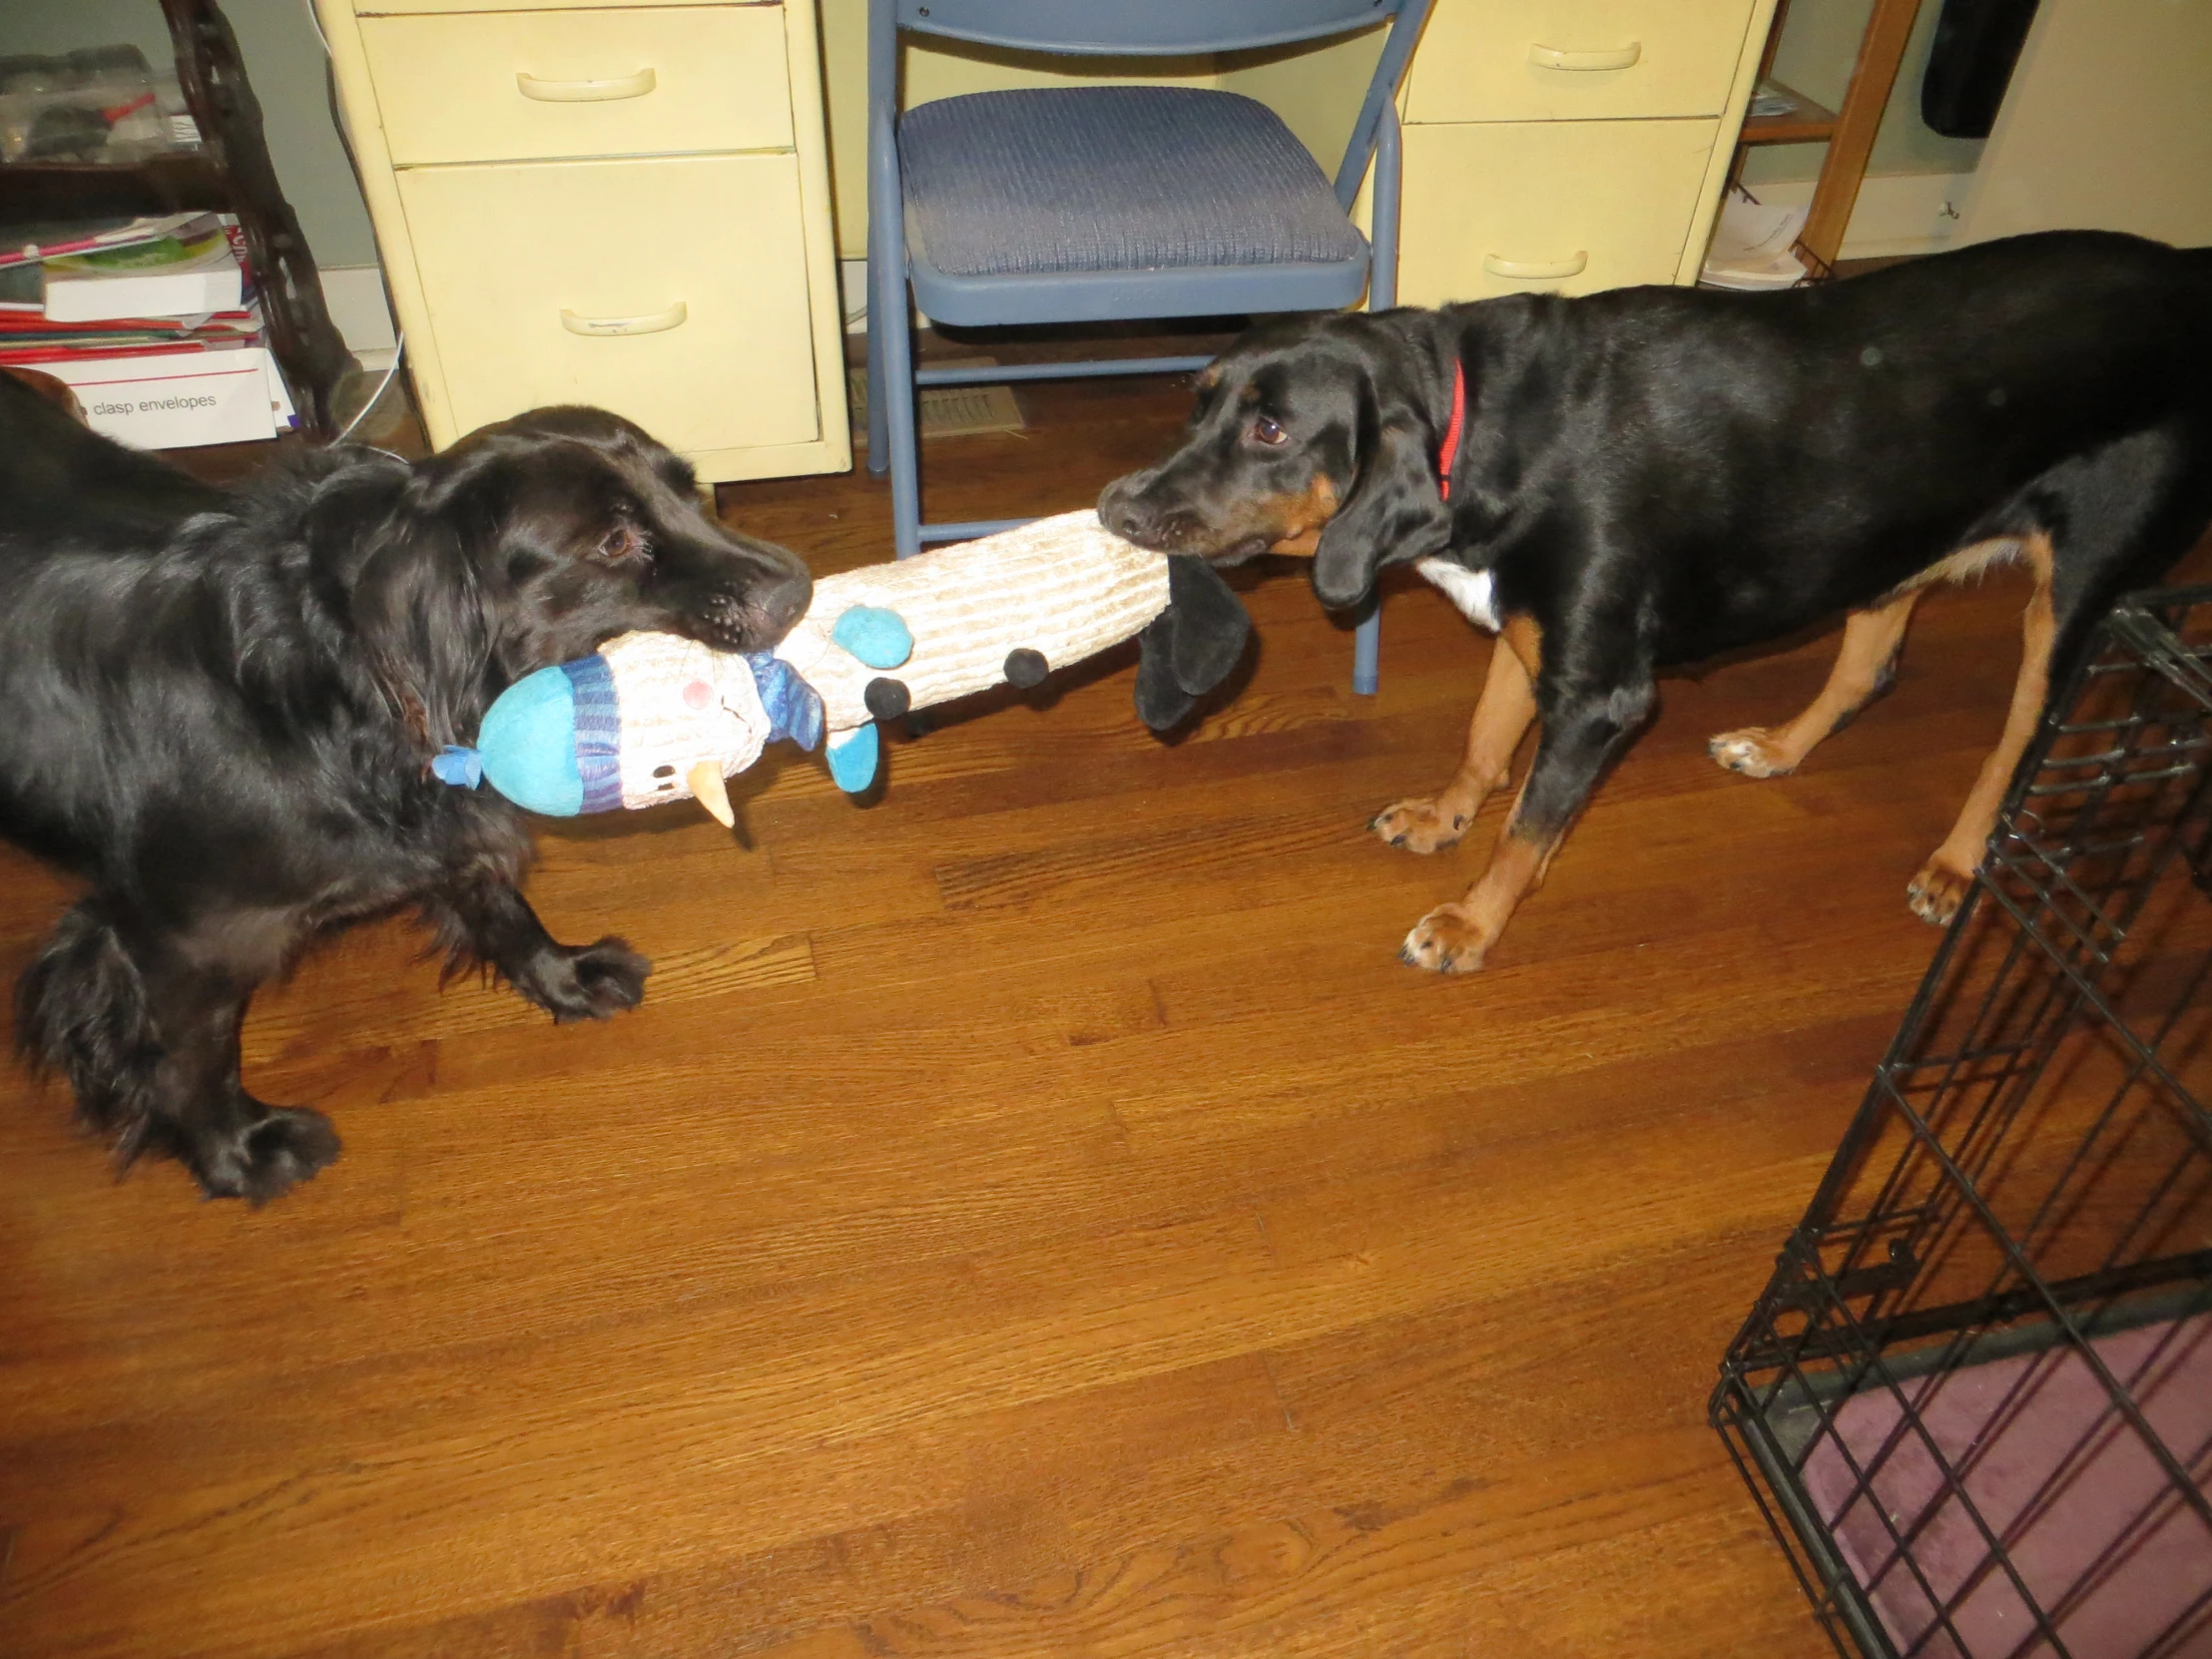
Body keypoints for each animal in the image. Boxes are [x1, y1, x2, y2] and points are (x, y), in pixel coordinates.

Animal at [0, 382, 814, 1203]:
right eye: (614, 543)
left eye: (689, 489)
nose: (799, 591)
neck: (333, 684)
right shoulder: (171, 940)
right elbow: (189, 1060)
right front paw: (237, 1154)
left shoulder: (446, 827)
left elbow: (500, 905)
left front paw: (563, 977)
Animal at [1101, 228, 2212, 968]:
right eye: (1198, 402)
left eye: (1273, 432)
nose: (1117, 507)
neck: (1474, 418)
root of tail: (2190, 272)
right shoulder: (1527, 634)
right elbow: (1484, 743)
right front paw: (1441, 816)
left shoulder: (1599, 695)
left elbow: (1528, 828)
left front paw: (1470, 923)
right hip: (1891, 542)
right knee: (1870, 667)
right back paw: (1777, 748)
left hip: (2081, 593)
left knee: (2016, 743)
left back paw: (1955, 862)